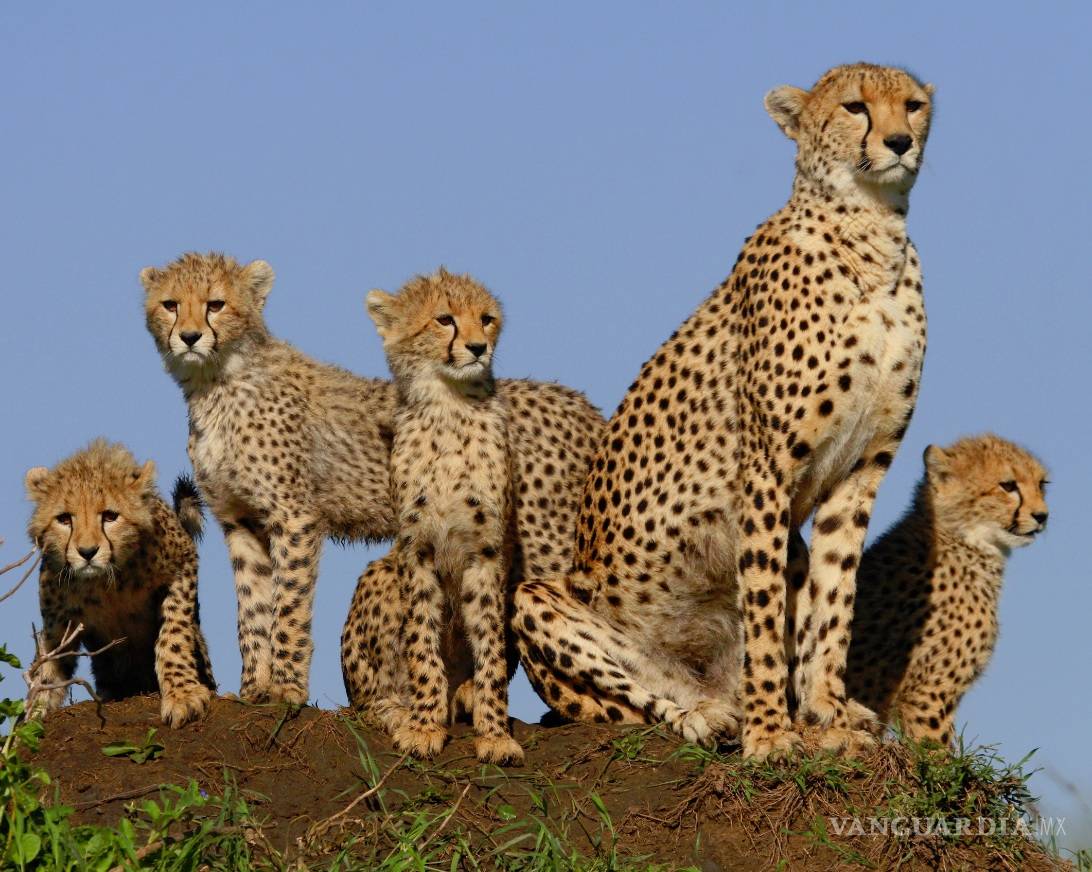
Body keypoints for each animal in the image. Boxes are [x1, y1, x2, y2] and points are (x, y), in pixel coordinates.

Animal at [25, 439, 215, 727]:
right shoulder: (57, 623)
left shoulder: (183, 563)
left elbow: (173, 634)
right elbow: (47, 669)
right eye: (64, 519)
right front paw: (30, 718)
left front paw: (182, 695)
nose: (87, 552)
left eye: (110, 516)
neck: (105, 582)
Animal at [141, 252, 604, 705]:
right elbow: (252, 607)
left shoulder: (294, 517)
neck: (217, 384)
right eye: (171, 305)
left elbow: (288, 602)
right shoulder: (239, 521)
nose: (189, 337)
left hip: (543, 537)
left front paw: (287, 687)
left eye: (216, 305)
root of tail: (582, 404)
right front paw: (255, 686)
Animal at [343, 268, 522, 765]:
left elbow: (490, 645)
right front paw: (424, 723)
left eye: (487, 319)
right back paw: (398, 709)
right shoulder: (415, 548)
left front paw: (494, 731)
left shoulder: (487, 552)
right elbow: (422, 641)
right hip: (381, 573)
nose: (479, 347)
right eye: (445, 319)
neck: (449, 406)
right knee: (367, 694)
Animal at [511, 62, 934, 759]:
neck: (873, 235)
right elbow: (763, 612)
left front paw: (826, 711)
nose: (900, 142)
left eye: (914, 105)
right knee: (633, 702)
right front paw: (771, 735)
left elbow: (834, 599)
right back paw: (707, 718)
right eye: (855, 107)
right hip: (544, 602)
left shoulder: (860, 472)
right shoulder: (763, 469)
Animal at [845, 435, 1049, 746]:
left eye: (1042, 484)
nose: (1042, 516)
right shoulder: (929, 691)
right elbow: (937, 750)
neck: (963, 539)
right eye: (1008, 486)